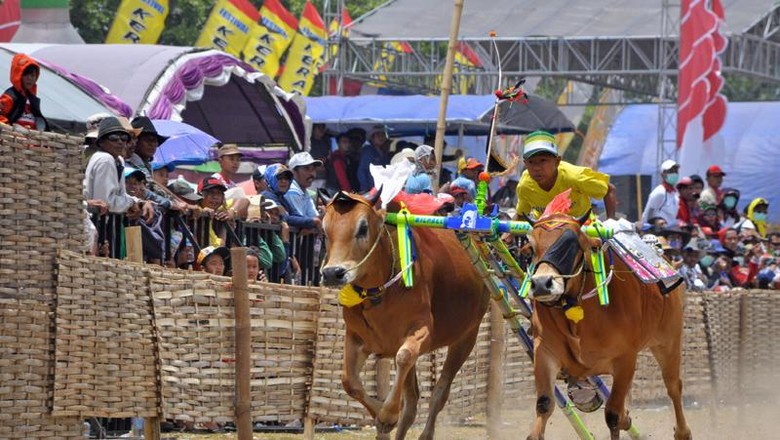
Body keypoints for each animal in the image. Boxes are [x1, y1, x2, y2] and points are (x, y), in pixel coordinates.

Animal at [318, 192, 488, 440]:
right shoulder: (357, 337)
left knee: (439, 393)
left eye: (362, 227)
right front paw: (381, 418)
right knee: (412, 402)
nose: (332, 273)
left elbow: (404, 357)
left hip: (466, 338)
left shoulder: (421, 332)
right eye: (324, 229)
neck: (379, 292)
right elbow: (350, 382)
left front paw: (388, 415)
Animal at [520, 194, 692, 440]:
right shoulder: (545, 352)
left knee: (673, 386)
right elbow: (544, 404)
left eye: (573, 244)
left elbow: (612, 414)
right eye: (532, 247)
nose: (542, 283)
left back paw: (682, 432)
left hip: (668, 341)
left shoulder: (625, 359)